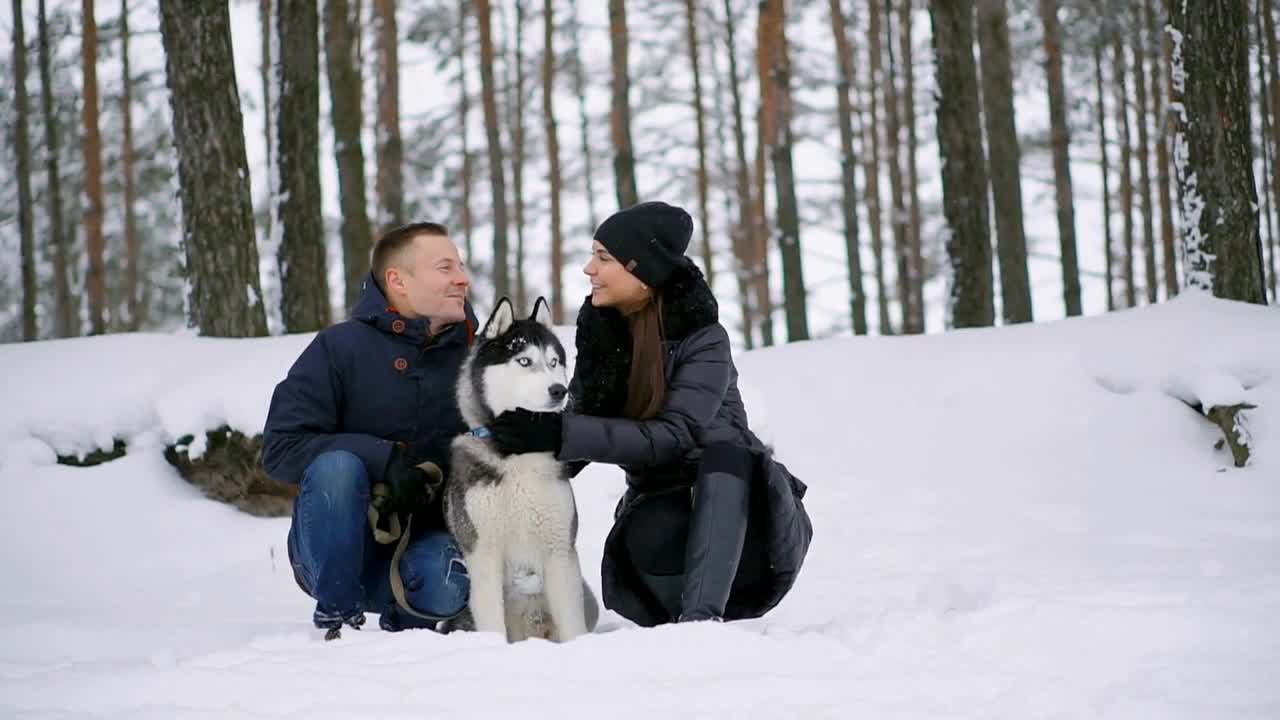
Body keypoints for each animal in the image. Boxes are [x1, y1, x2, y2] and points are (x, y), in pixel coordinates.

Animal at [445, 294, 599, 640]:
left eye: (554, 362)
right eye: (524, 361)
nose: (559, 390)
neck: (518, 456)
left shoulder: (559, 550)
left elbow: (572, 624)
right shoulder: (483, 554)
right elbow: (491, 621)